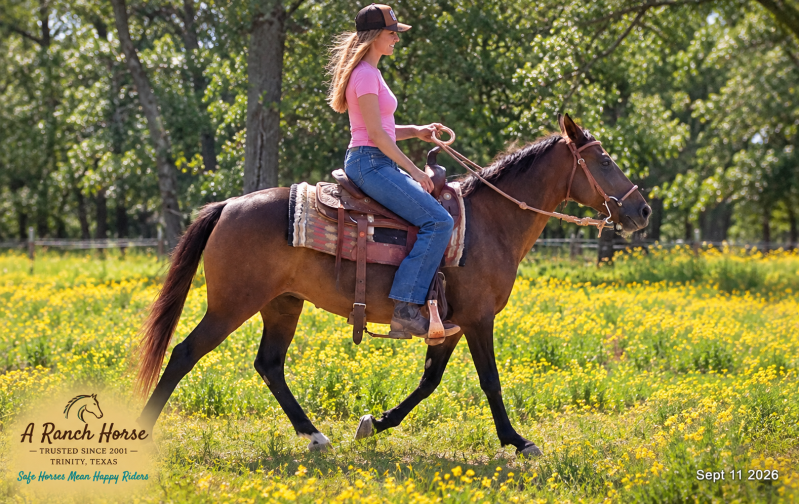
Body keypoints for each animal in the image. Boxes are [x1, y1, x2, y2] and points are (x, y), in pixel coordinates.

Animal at [134, 114, 651, 455]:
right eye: (605, 161)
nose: (642, 210)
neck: (490, 223)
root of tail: (227, 205)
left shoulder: (450, 324)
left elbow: (429, 381)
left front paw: (375, 423)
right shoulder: (479, 319)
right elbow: (490, 380)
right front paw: (517, 441)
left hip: (283, 304)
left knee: (270, 365)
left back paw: (315, 435)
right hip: (232, 304)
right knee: (185, 354)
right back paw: (143, 431)